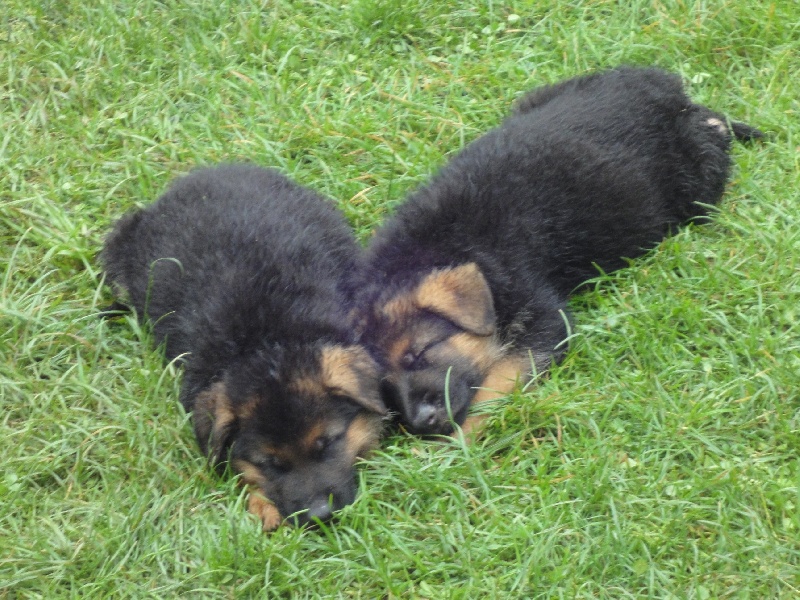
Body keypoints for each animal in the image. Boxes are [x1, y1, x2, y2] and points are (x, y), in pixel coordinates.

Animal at [101, 164, 390, 528]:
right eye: (271, 463)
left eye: (325, 445)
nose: (319, 516)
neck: (268, 343)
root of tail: (208, 172)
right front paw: (263, 504)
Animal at [356, 67, 764, 436]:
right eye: (385, 391)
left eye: (418, 355)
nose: (421, 424)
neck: (435, 249)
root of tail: (666, 89)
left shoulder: (542, 317)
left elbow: (496, 384)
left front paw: (456, 447)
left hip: (696, 186)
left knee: (713, 129)